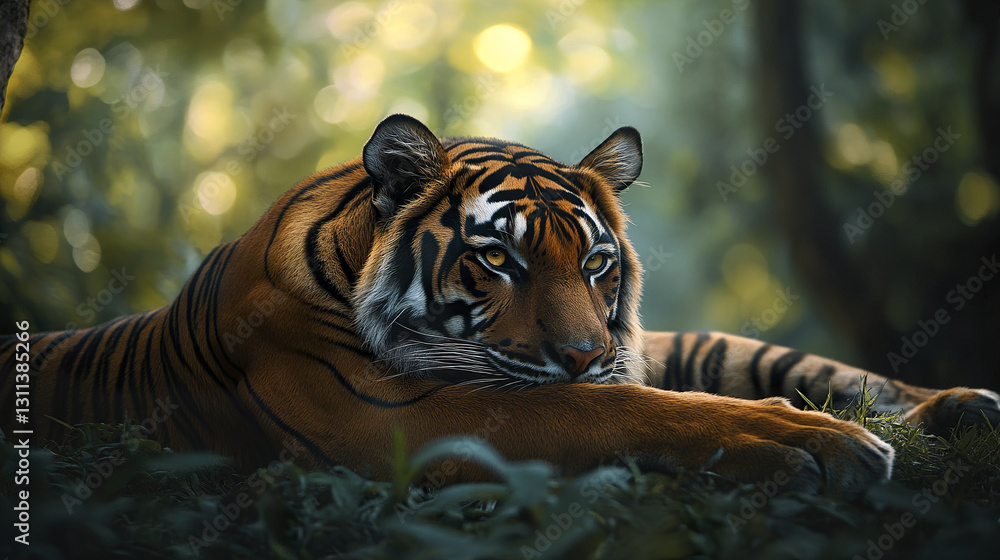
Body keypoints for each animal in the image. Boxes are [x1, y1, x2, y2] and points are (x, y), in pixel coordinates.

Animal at [3, 114, 998, 497]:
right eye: (497, 260)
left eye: (596, 264)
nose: (588, 355)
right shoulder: (396, 419)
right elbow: (621, 412)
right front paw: (811, 441)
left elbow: (715, 378)